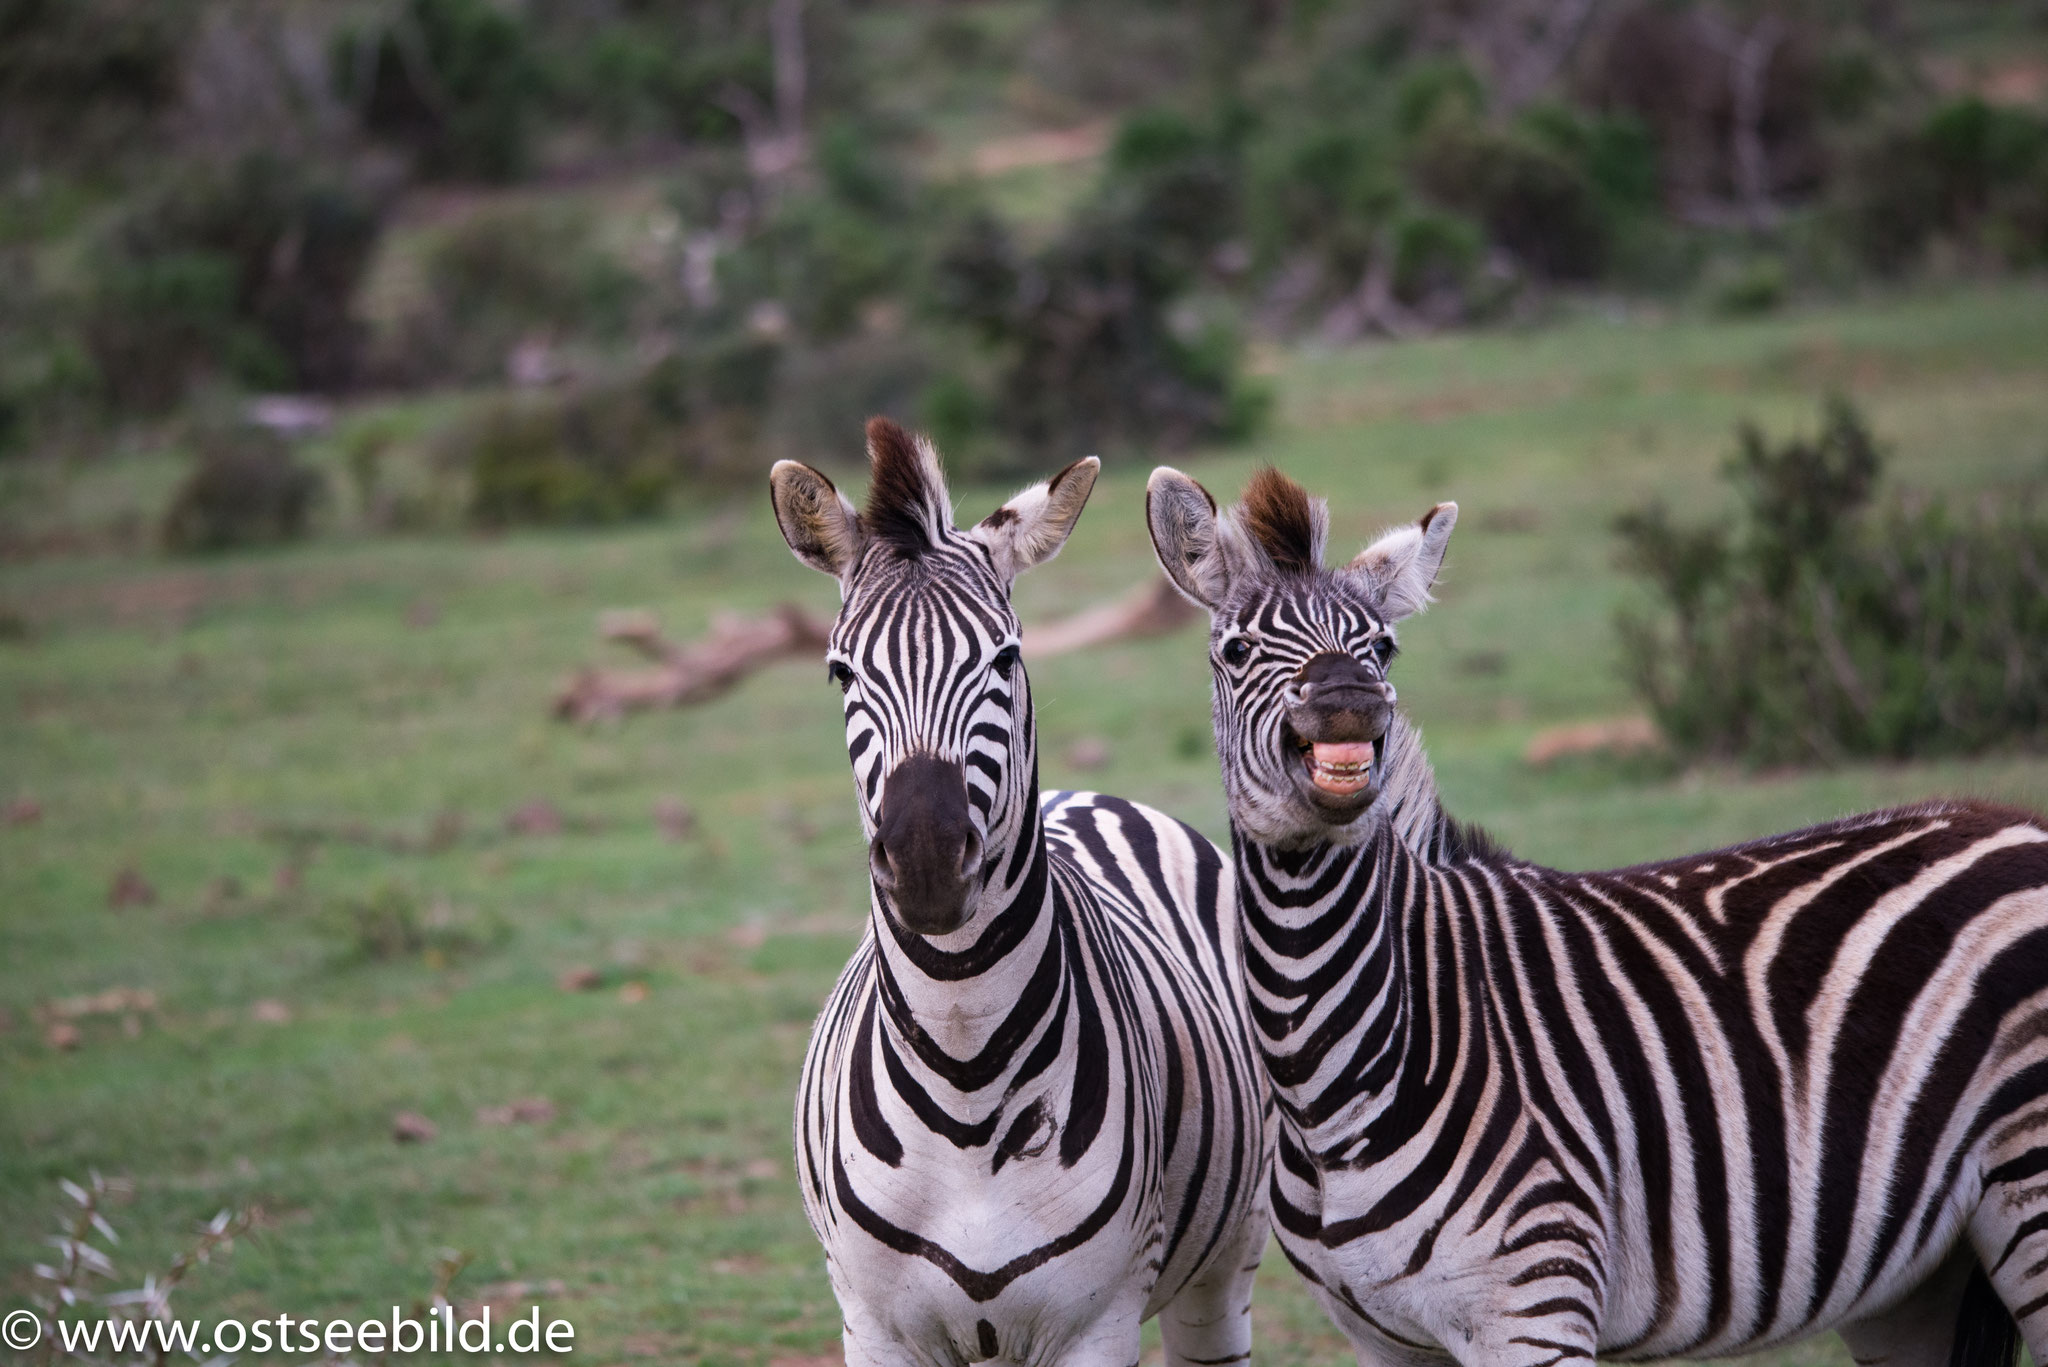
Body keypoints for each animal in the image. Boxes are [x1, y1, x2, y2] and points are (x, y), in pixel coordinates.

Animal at [770, 418, 1269, 1367]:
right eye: (841, 674)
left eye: (1004, 658)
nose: (926, 859)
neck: (965, 1070)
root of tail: (1087, 795)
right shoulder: (874, 1327)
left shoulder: (1095, 1324)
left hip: (1223, 1270)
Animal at [1146, 465, 2048, 1367]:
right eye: (1235, 649)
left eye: (1382, 646)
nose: (1347, 702)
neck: (1339, 1074)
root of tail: (2015, 822)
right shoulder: (1385, 1338)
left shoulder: (1534, 1309)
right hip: (1920, 1278)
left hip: (2028, 1193)